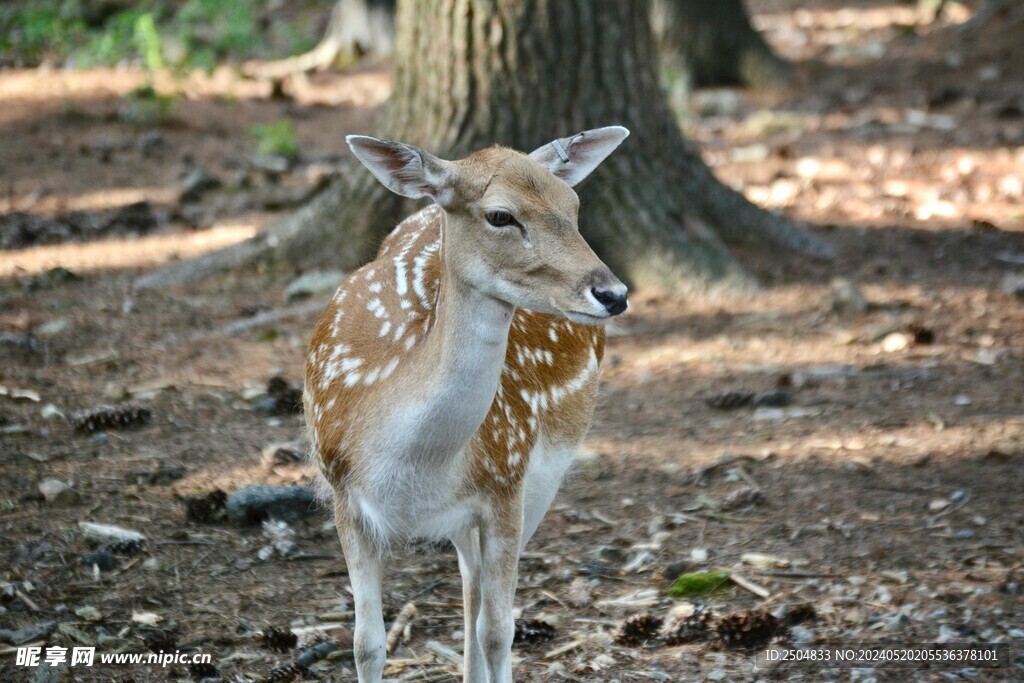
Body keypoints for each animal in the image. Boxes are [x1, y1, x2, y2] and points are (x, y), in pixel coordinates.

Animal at [304, 126, 630, 683]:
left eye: (573, 204)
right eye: (500, 215)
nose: (613, 293)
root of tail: (422, 212)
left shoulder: (508, 480)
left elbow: (499, 631)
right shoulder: (343, 493)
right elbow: (366, 644)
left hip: (542, 476)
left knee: (480, 597)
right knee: (469, 579)